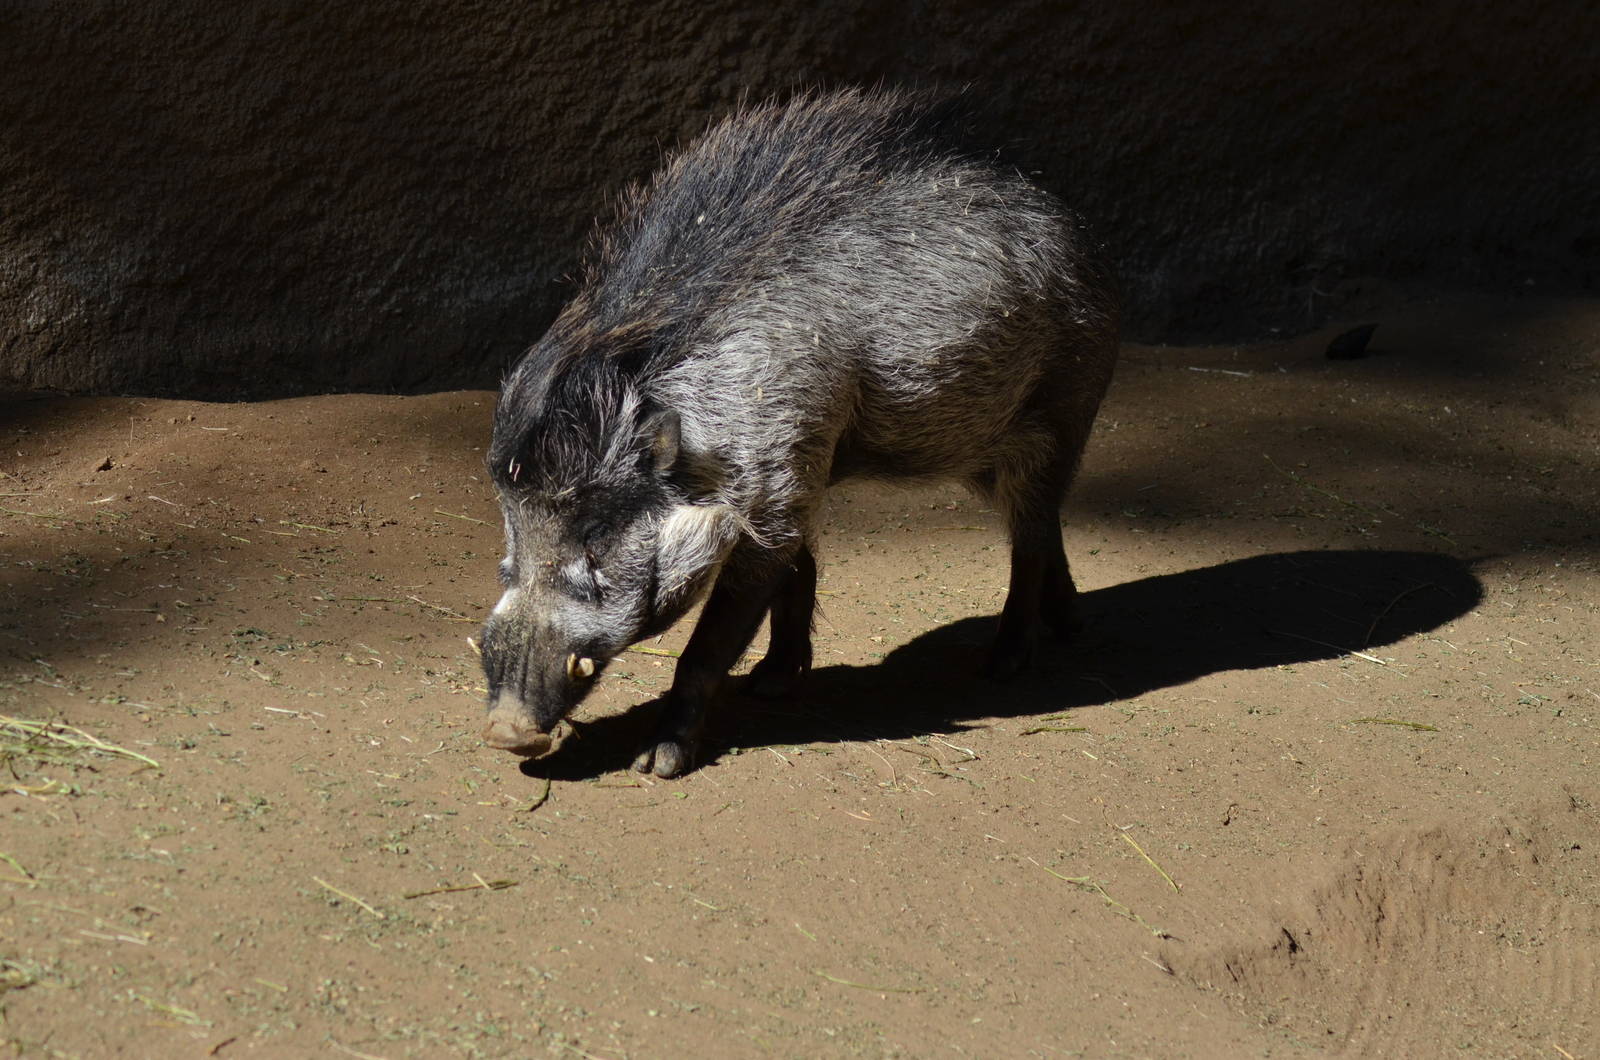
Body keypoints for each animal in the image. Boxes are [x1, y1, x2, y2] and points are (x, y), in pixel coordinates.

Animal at [479, 88, 1118, 777]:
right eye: (509, 538)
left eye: (596, 535)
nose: (505, 732)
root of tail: (1077, 229)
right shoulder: (797, 474)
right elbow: (797, 572)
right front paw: (772, 684)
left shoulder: (775, 486)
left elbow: (710, 643)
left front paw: (655, 764)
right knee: (1046, 526)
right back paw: (1071, 626)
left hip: (1064, 413)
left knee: (1030, 536)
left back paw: (1003, 665)